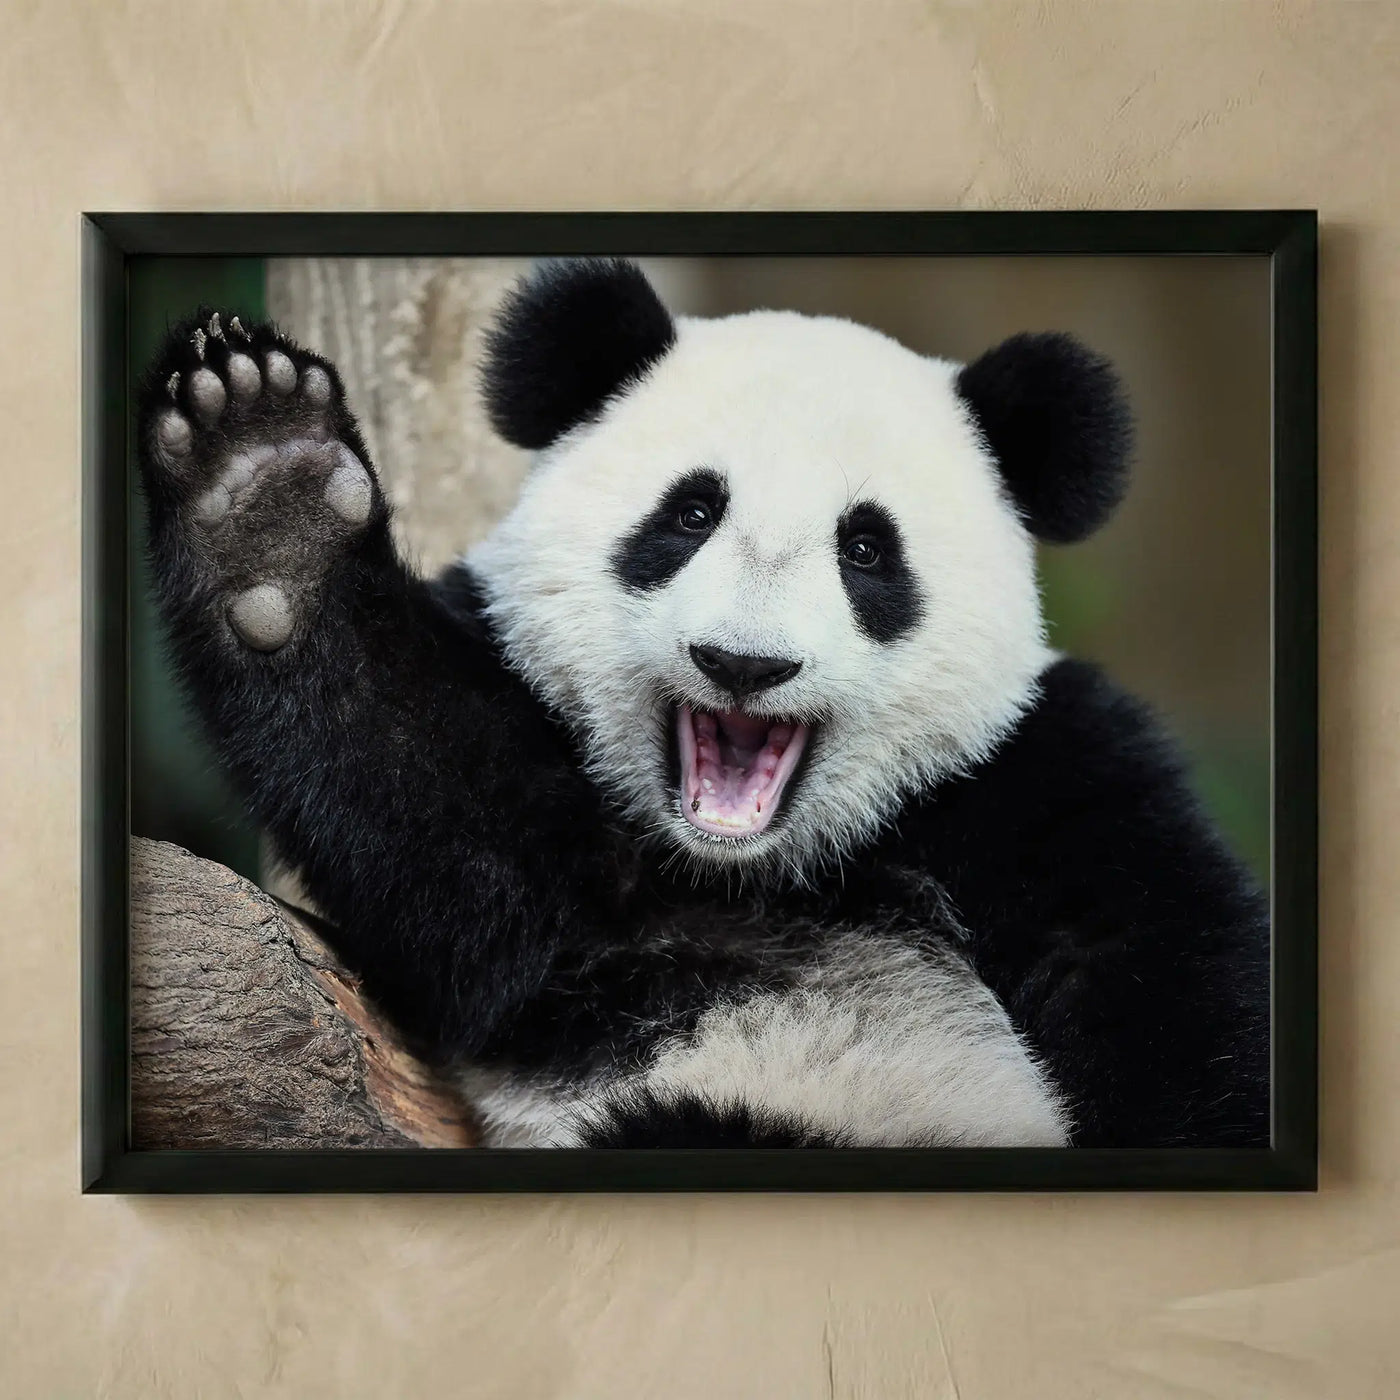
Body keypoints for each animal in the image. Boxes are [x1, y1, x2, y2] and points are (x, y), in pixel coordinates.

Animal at [136, 259, 1270, 1149]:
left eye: (867, 548)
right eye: (688, 514)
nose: (743, 663)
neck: (761, 873)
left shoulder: (1039, 772)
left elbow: (1164, 986)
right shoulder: (562, 885)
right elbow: (437, 820)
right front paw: (267, 491)